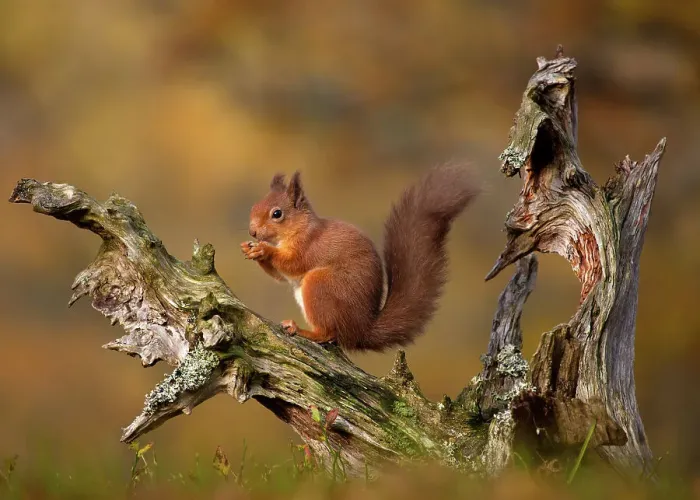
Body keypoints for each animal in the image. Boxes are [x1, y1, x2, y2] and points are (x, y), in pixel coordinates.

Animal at [241, 165, 478, 351]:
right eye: (253, 207)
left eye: (277, 214)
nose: (252, 232)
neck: (299, 229)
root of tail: (361, 330)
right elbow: (280, 277)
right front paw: (250, 249)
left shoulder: (309, 247)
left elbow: (293, 264)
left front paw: (265, 250)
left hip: (321, 285)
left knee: (328, 333)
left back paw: (302, 330)